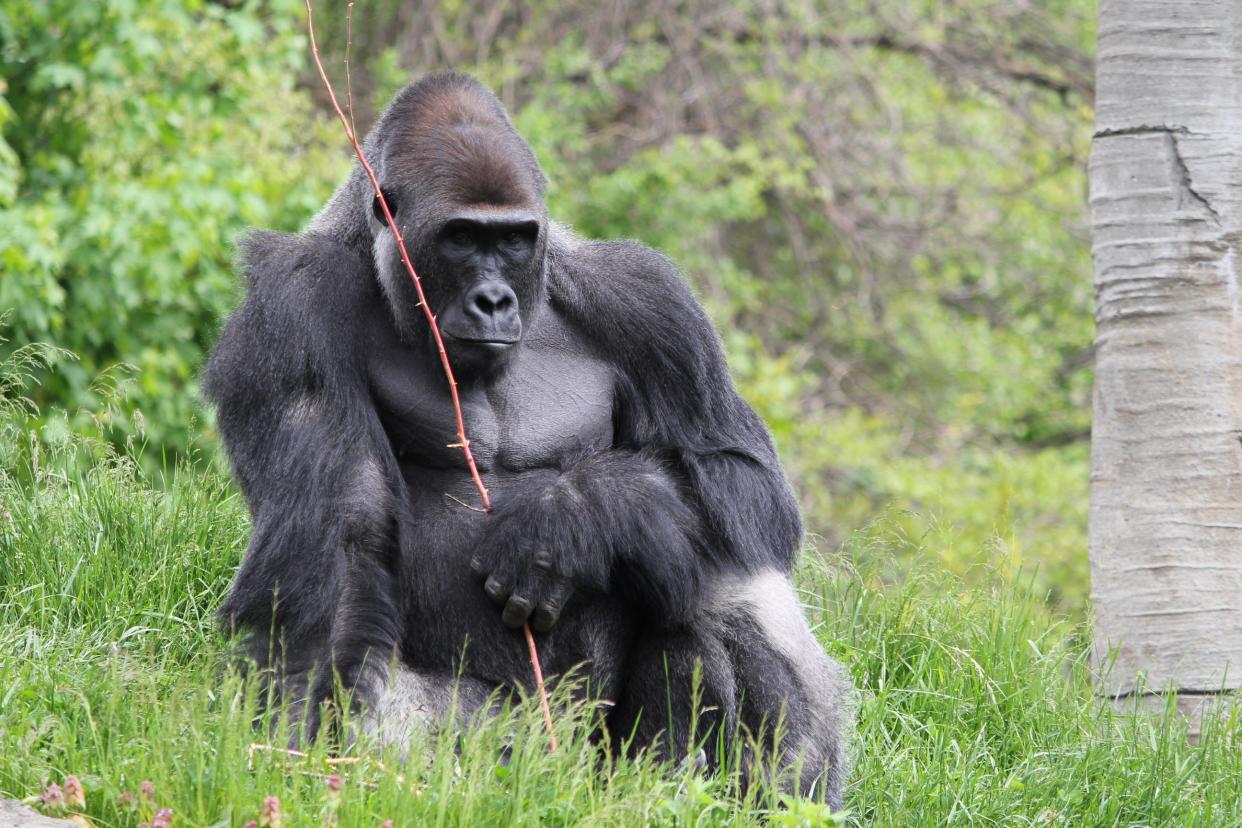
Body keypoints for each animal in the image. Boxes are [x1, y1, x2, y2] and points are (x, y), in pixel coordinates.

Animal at [206, 71, 854, 804]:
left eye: (515, 239)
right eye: (462, 237)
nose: (494, 301)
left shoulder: (651, 300)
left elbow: (740, 474)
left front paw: (576, 512)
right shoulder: (291, 306)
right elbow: (339, 543)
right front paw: (295, 734)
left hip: (597, 757)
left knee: (708, 558)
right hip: (500, 751)